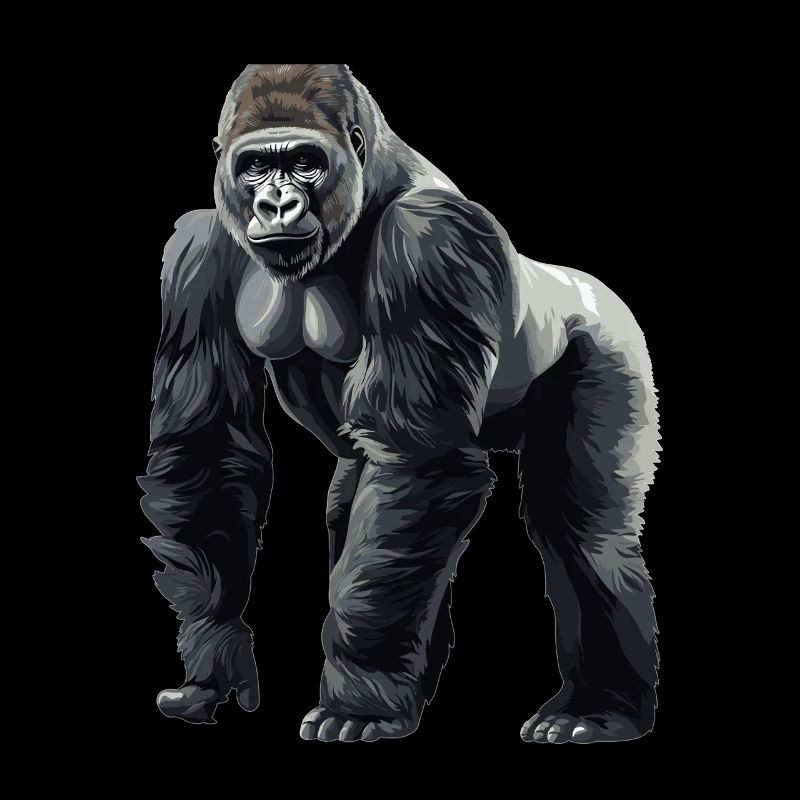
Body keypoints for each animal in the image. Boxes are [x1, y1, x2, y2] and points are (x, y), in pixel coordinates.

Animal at [139, 64, 660, 743]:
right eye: (254, 166)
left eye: (304, 163)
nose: (275, 203)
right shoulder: (198, 250)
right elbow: (208, 443)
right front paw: (215, 653)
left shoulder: (429, 234)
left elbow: (420, 459)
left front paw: (358, 701)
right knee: (361, 502)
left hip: (612, 342)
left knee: (582, 528)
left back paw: (598, 708)